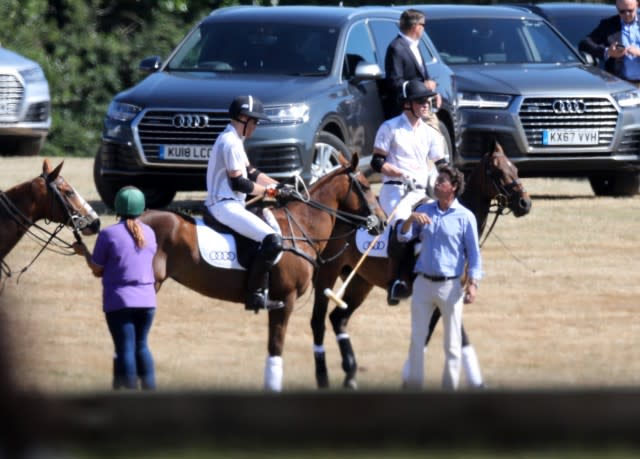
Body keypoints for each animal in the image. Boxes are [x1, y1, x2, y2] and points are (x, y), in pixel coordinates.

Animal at [138, 155, 384, 392]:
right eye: (365, 186)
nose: (381, 222)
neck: (303, 226)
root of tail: (136, 220)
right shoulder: (284, 299)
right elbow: (276, 348)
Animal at [312, 143, 532, 388]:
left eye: (515, 169)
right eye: (498, 172)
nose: (525, 203)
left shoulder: (451, 293)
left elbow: (455, 335)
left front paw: (476, 382)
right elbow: (427, 334)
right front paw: (409, 375)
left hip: (360, 281)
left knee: (338, 319)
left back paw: (350, 374)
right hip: (328, 272)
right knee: (319, 320)